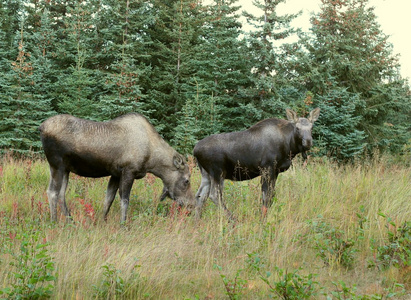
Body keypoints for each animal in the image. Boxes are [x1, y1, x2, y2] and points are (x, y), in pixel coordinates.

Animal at [39, 112, 196, 223]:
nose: (191, 205)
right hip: (57, 165)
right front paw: (123, 224)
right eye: (186, 180)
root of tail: (41, 127)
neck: (152, 160)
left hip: (65, 169)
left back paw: (71, 221)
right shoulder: (128, 171)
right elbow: (124, 200)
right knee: (52, 192)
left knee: (61, 194)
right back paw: (54, 222)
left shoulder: (115, 174)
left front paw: (102, 221)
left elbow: (108, 199)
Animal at [194, 108, 322, 220]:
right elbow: (266, 196)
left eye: (311, 127)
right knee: (214, 195)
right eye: (297, 128)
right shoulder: (267, 168)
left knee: (200, 196)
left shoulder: (275, 171)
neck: (289, 146)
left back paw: (196, 221)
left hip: (206, 174)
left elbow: (271, 195)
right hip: (218, 172)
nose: (308, 142)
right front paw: (262, 219)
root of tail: (195, 150)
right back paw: (232, 219)